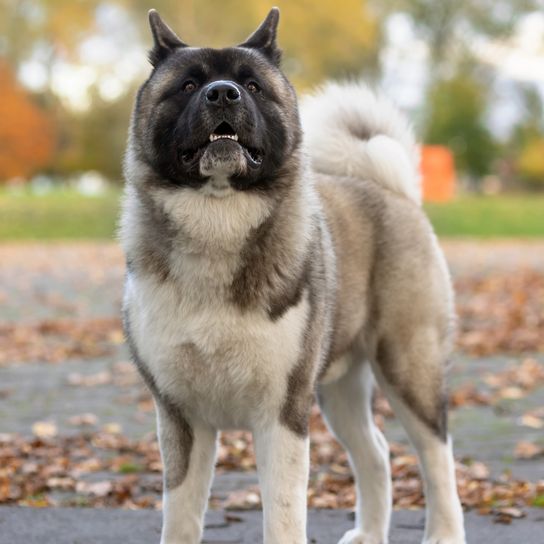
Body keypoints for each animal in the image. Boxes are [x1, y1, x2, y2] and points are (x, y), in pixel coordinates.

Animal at [121, 8, 466, 544]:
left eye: (252, 85)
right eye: (189, 84)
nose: (223, 93)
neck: (217, 221)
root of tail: (391, 191)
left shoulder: (281, 415)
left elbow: (283, 517)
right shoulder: (181, 417)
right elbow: (180, 516)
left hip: (409, 366)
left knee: (436, 456)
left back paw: (443, 533)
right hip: (336, 390)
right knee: (376, 452)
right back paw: (368, 533)